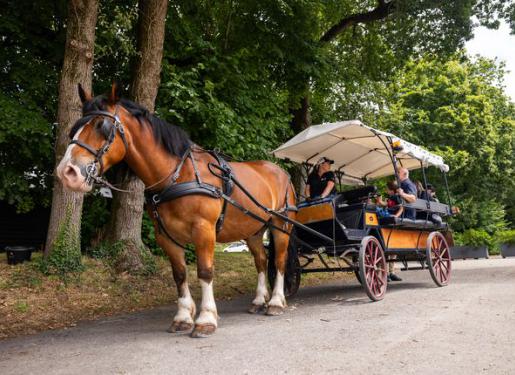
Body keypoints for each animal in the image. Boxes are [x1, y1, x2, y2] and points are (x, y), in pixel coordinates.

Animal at [57, 83, 296, 340]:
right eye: (75, 127)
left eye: (102, 125)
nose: (67, 172)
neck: (177, 175)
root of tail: (281, 172)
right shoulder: (166, 235)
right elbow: (180, 274)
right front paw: (183, 317)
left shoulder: (204, 230)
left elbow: (205, 272)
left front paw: (206, 319)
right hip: (252, 230)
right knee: (261, 260)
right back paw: (259, 300)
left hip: (281, 226)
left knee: (279, 261)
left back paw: (276, 302)